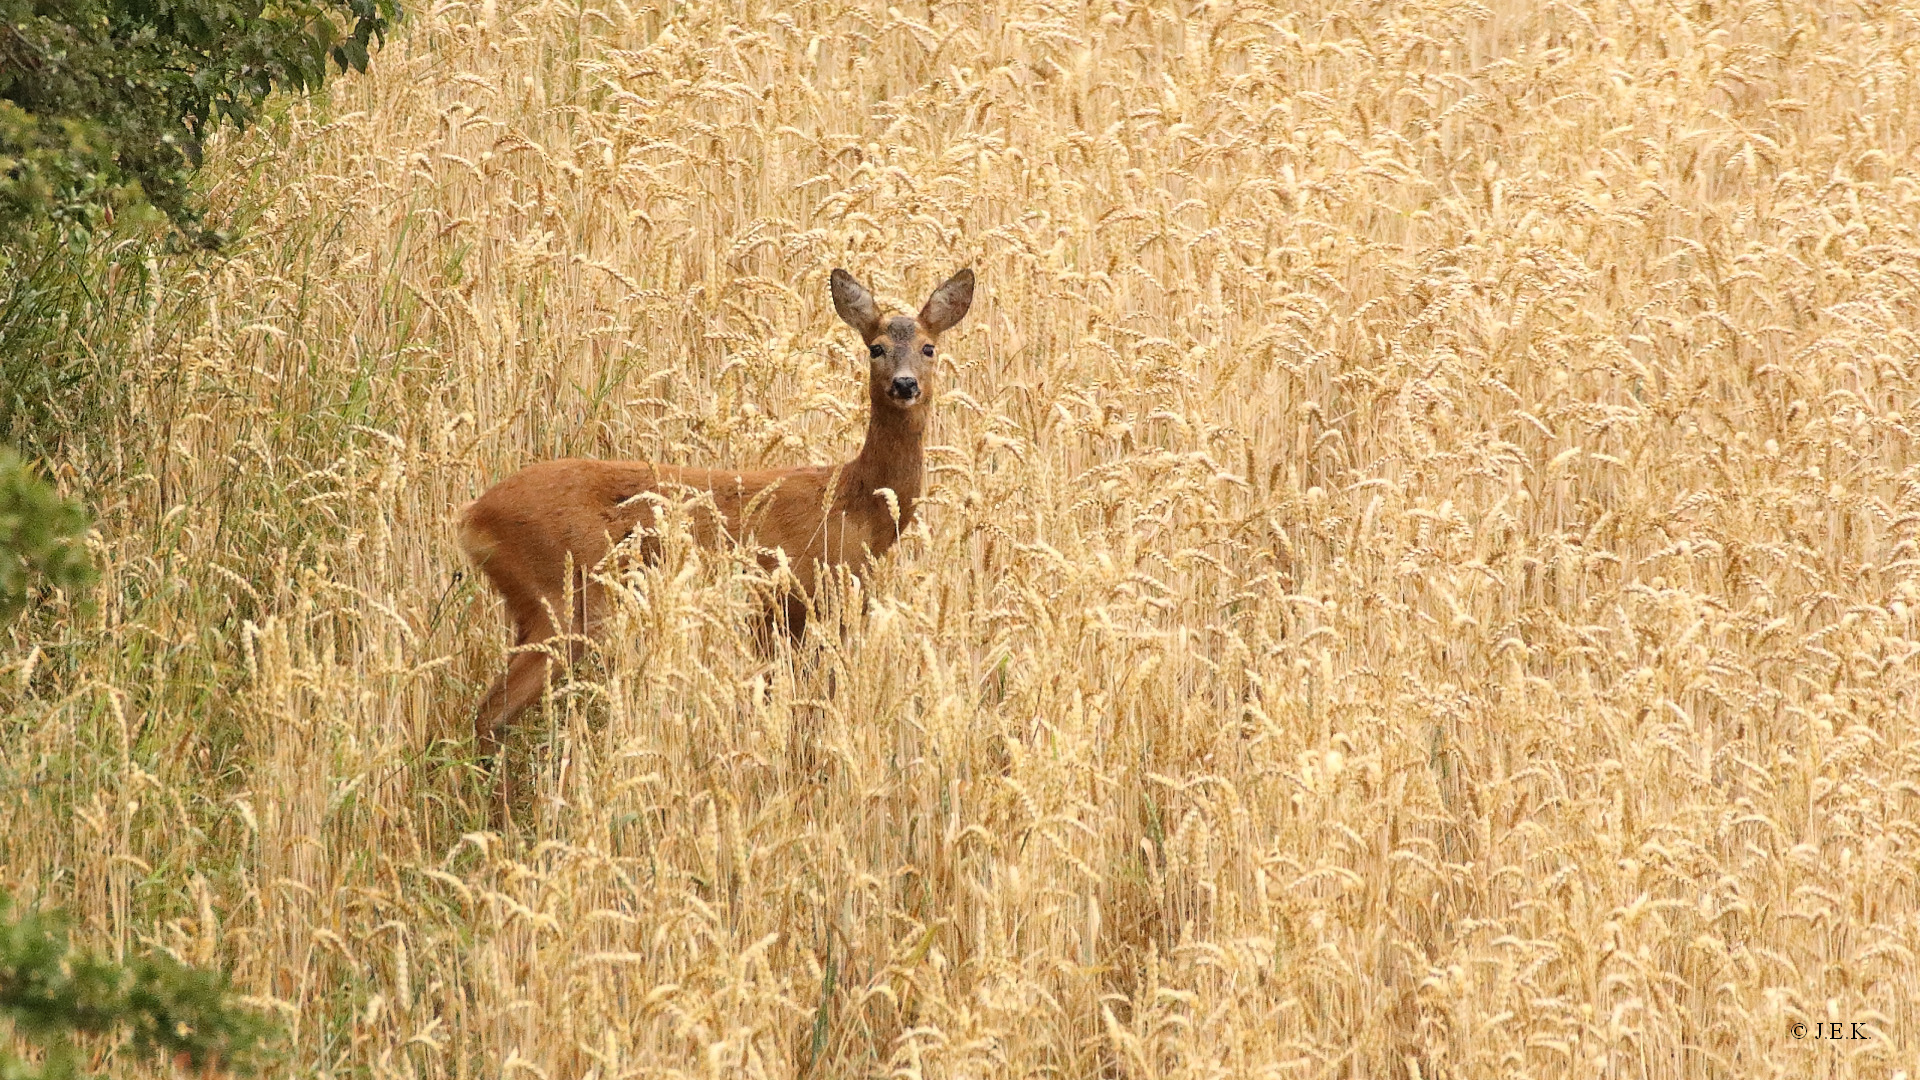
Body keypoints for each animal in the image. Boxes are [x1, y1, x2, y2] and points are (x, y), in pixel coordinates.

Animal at [453, 267, 975, 814]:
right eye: (876, 348)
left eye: (929, 347)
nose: (905, 384)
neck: (855, 505)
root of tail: (473, 516)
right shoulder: (795, 602)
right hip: (566, 602)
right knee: (490, 714)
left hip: (533, 608)